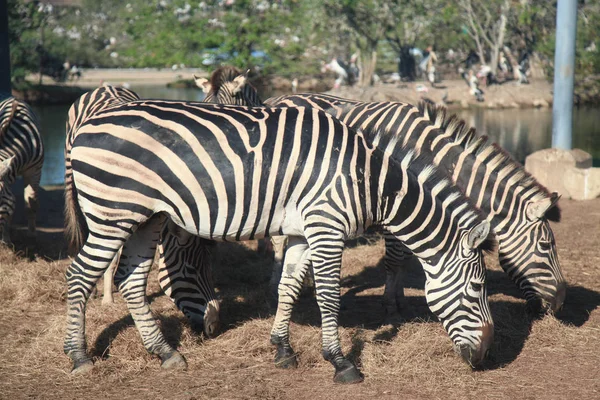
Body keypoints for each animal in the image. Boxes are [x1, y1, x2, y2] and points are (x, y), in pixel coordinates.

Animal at [268, 92, 568, 314]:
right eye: (546, 246)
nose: (560, 303)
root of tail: (278, 97)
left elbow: (405, 256)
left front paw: (399, 297)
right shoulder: (394, 203)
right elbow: (394, 259)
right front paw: (390, 304)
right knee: (278, 240)